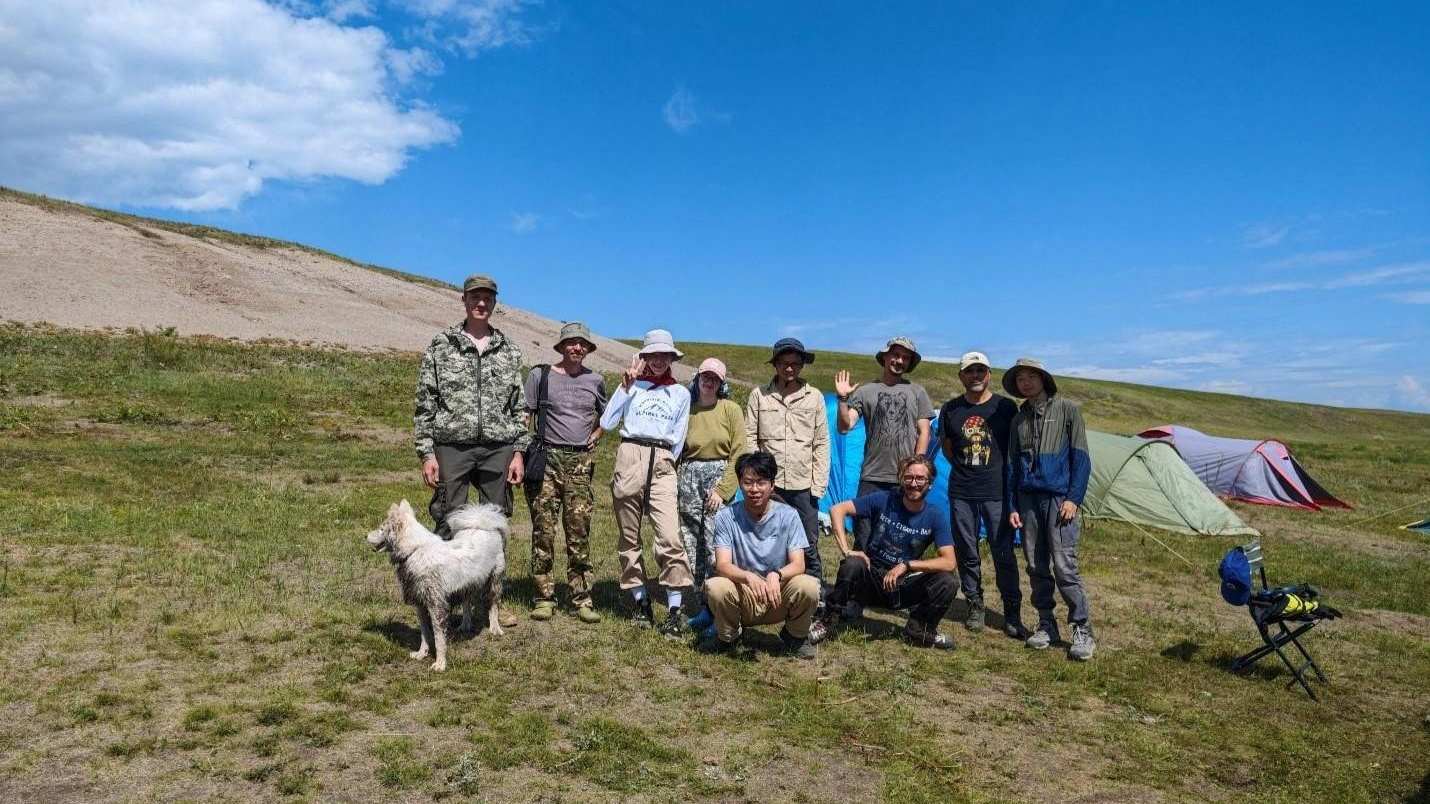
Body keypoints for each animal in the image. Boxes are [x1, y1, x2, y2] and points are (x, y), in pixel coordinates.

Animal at [366, 497, 506, 666]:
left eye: (381, 529)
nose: (365, 535)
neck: (415, 550)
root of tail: (481, 524)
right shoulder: (421, 604)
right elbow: (424, 634)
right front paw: (422, 653)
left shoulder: (436, 605)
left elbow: (439, 638)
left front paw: (440, 664)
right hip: (466, 584)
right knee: (467, 603)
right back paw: (465, 625)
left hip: (495, 579)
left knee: (493, 605)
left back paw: (495, 628)